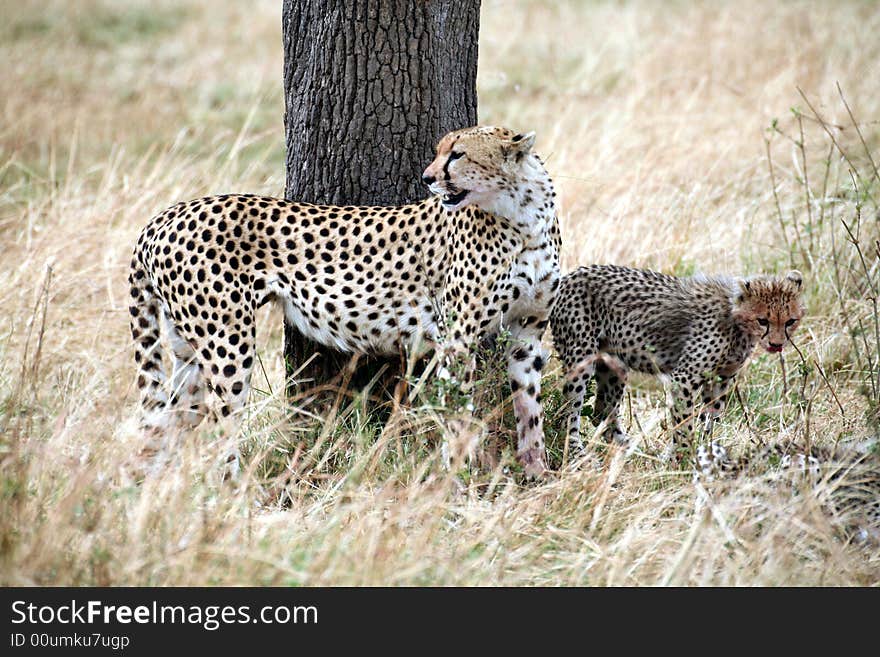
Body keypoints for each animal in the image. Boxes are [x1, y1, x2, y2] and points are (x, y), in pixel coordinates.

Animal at [127, 127, 560, 476]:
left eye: (458, 154)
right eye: (440, 151)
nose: (427, 178)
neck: (523, 216)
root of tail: (164, 216)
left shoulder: (527, 334)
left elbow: (530, 409)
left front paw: (536, 473)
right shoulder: (458, 338)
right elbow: (458, 412)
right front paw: (455, 477)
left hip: (188, 350)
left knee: (170, 420)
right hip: (226, 343)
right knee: (219, 427)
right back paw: (232, 497)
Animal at [552, 264, 804, 458]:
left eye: (790, 321)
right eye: (763, 321)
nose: (776, 344)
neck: (736, 320)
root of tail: (571, 274)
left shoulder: (721, 379)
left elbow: (710, 418)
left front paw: (705, 451)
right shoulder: (685, 377)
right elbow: (685, 422)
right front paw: (681, 458)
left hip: (615, 365)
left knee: (601, 413)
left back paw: (634, 450)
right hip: (582, 357)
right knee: (568, 412)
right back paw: (577, 454)